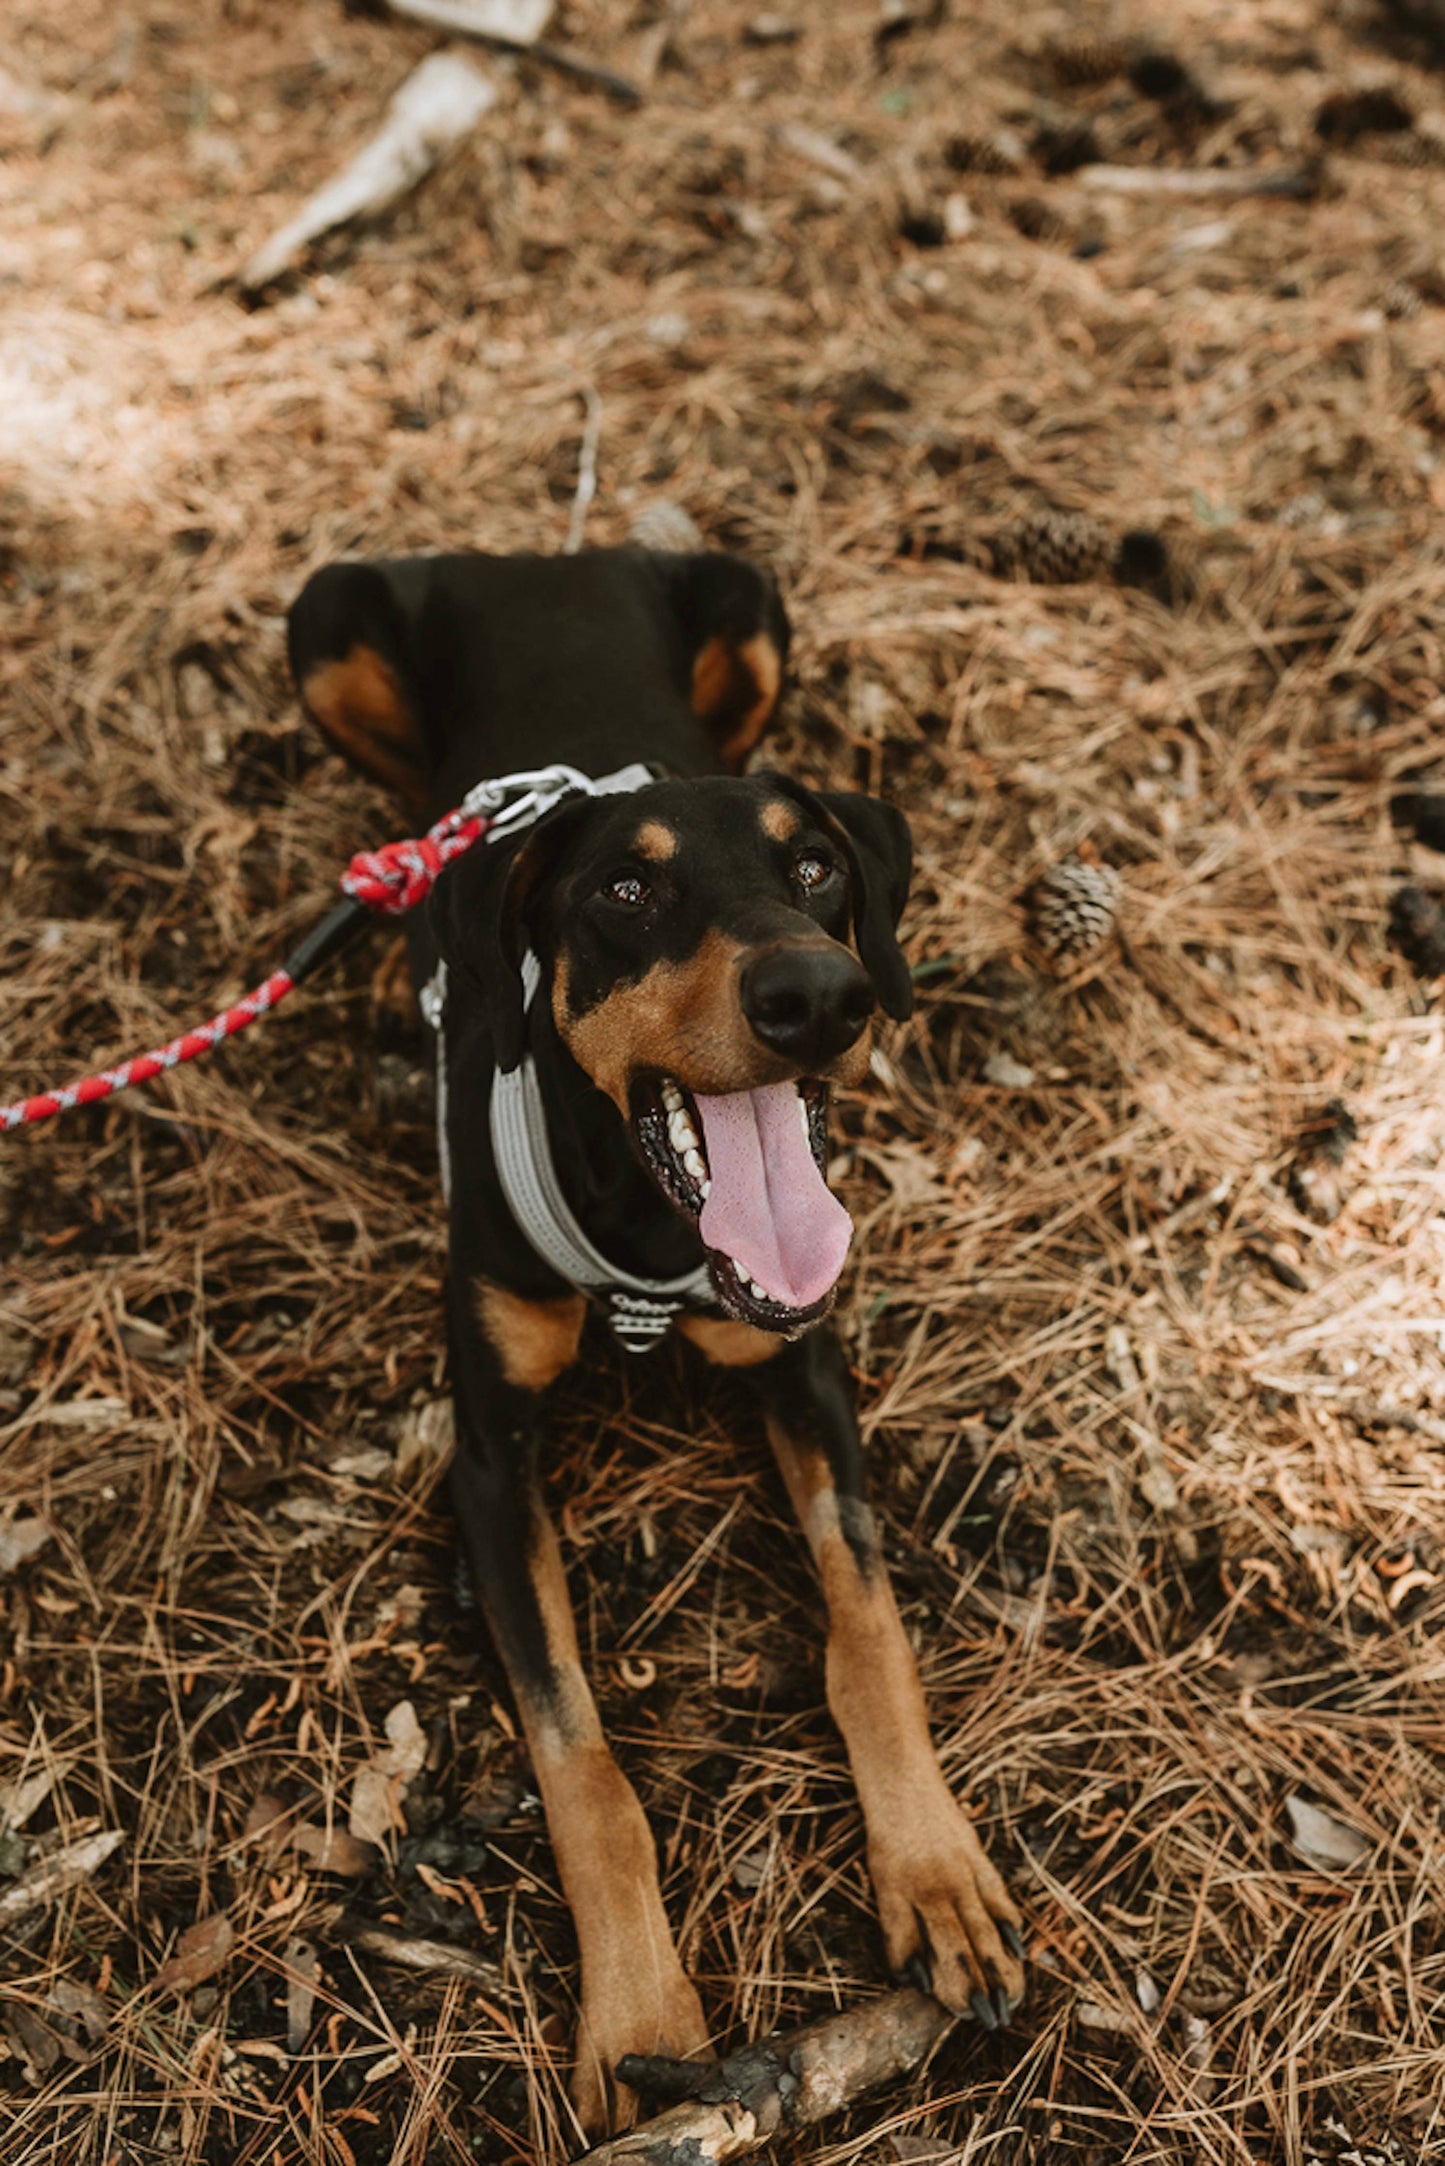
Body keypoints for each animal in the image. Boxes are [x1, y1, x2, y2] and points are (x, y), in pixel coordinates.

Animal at [285, 541, 1026, 2131]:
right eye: (625, 886)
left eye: (814, 867)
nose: (820, 993)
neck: (647, 1234)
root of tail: (530, 549)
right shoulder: (489, 1460)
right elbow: (580, 1756)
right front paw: (639, 2012)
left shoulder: (804, 1368)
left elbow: (867, 1628)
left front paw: (935, 1873)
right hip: (326, 624)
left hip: (749, 603)